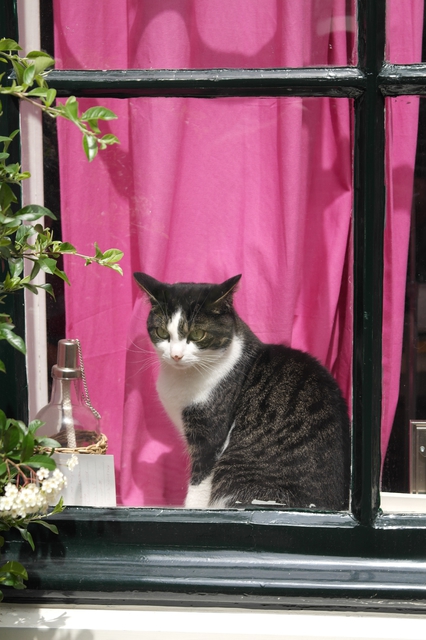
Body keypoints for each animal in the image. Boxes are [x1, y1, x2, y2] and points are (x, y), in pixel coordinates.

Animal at [135, 272, 352, 510]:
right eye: (162, 332)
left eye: (198, 334)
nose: (176, 355)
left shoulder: (210, 436)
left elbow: (200, 483)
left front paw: (192, 508)